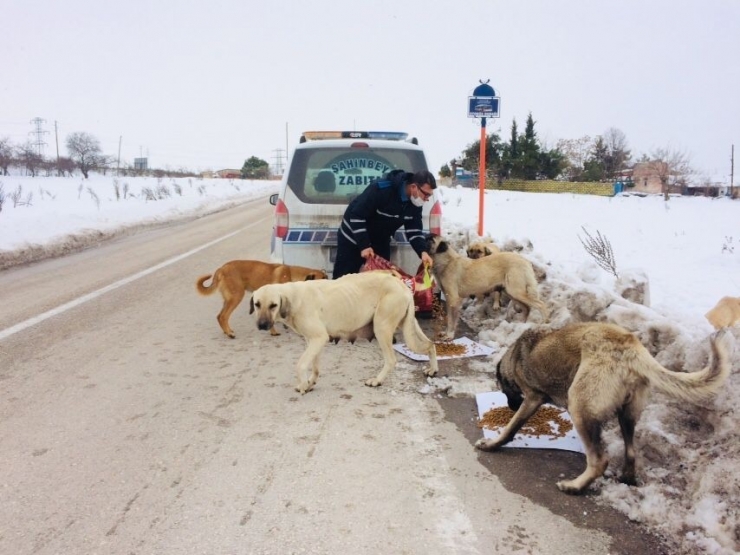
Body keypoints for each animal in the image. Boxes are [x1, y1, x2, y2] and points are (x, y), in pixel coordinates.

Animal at [197, 260, 326, 338]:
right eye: (322, 281)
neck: (291, 275)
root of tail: (221, 269)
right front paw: (274, 332)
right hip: (236, 297)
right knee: (223, 316)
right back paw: (229, 333)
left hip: (228, 299)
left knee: (219, 316)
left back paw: (226, 331)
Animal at [251, 272, 436, 394]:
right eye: (257, 304)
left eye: (273, 305)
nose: (262, 325)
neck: (293, 296)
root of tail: (402, 286)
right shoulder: (314, 341)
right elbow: (314, 366)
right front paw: (310, 382)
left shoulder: (319, 338)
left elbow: (300, 364)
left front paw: (303, 384)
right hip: (408, 326)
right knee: (430, 344)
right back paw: (433, 370)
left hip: (381, 328)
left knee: (391, 360)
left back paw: (377, 380)